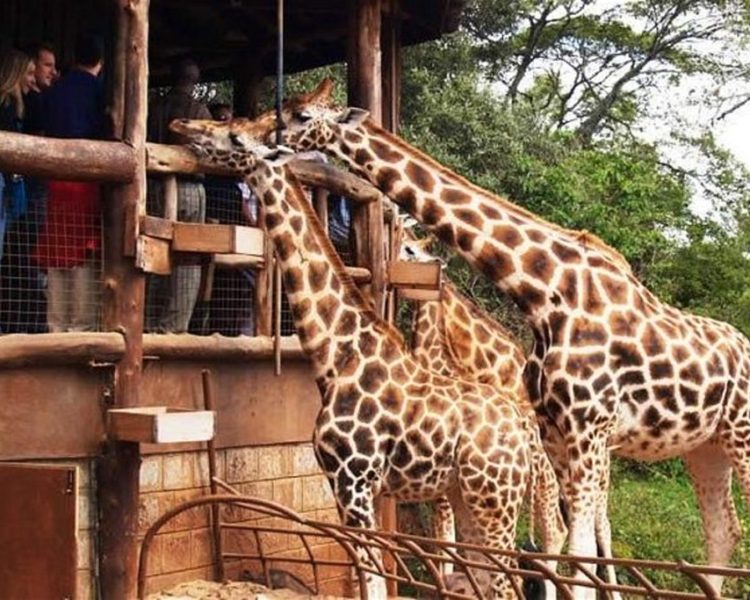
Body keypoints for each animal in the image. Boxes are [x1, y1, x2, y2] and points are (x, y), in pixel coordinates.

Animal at [170, 115, 551, 599]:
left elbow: (373, 578)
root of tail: (523, 431)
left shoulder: (354, 480)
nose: (183, 125)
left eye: (235, 135)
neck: (338, 353)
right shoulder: (343, 486)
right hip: (468, 496)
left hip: (494, 498)